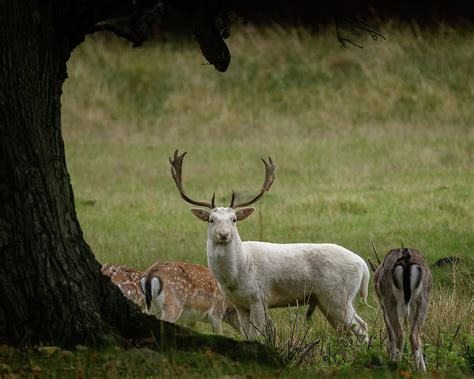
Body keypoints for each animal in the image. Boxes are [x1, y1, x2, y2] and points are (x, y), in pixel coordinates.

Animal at [168, 149, 372, 342]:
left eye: (234, 219)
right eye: (211, 220)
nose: (224, 234)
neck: (236, 275)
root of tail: (363, 265)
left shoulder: (259, 297)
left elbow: (258, 334)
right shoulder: (239, 304)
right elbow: (247, 335)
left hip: (339, 295)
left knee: (362, 326)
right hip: (325, 300)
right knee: (346, 330)